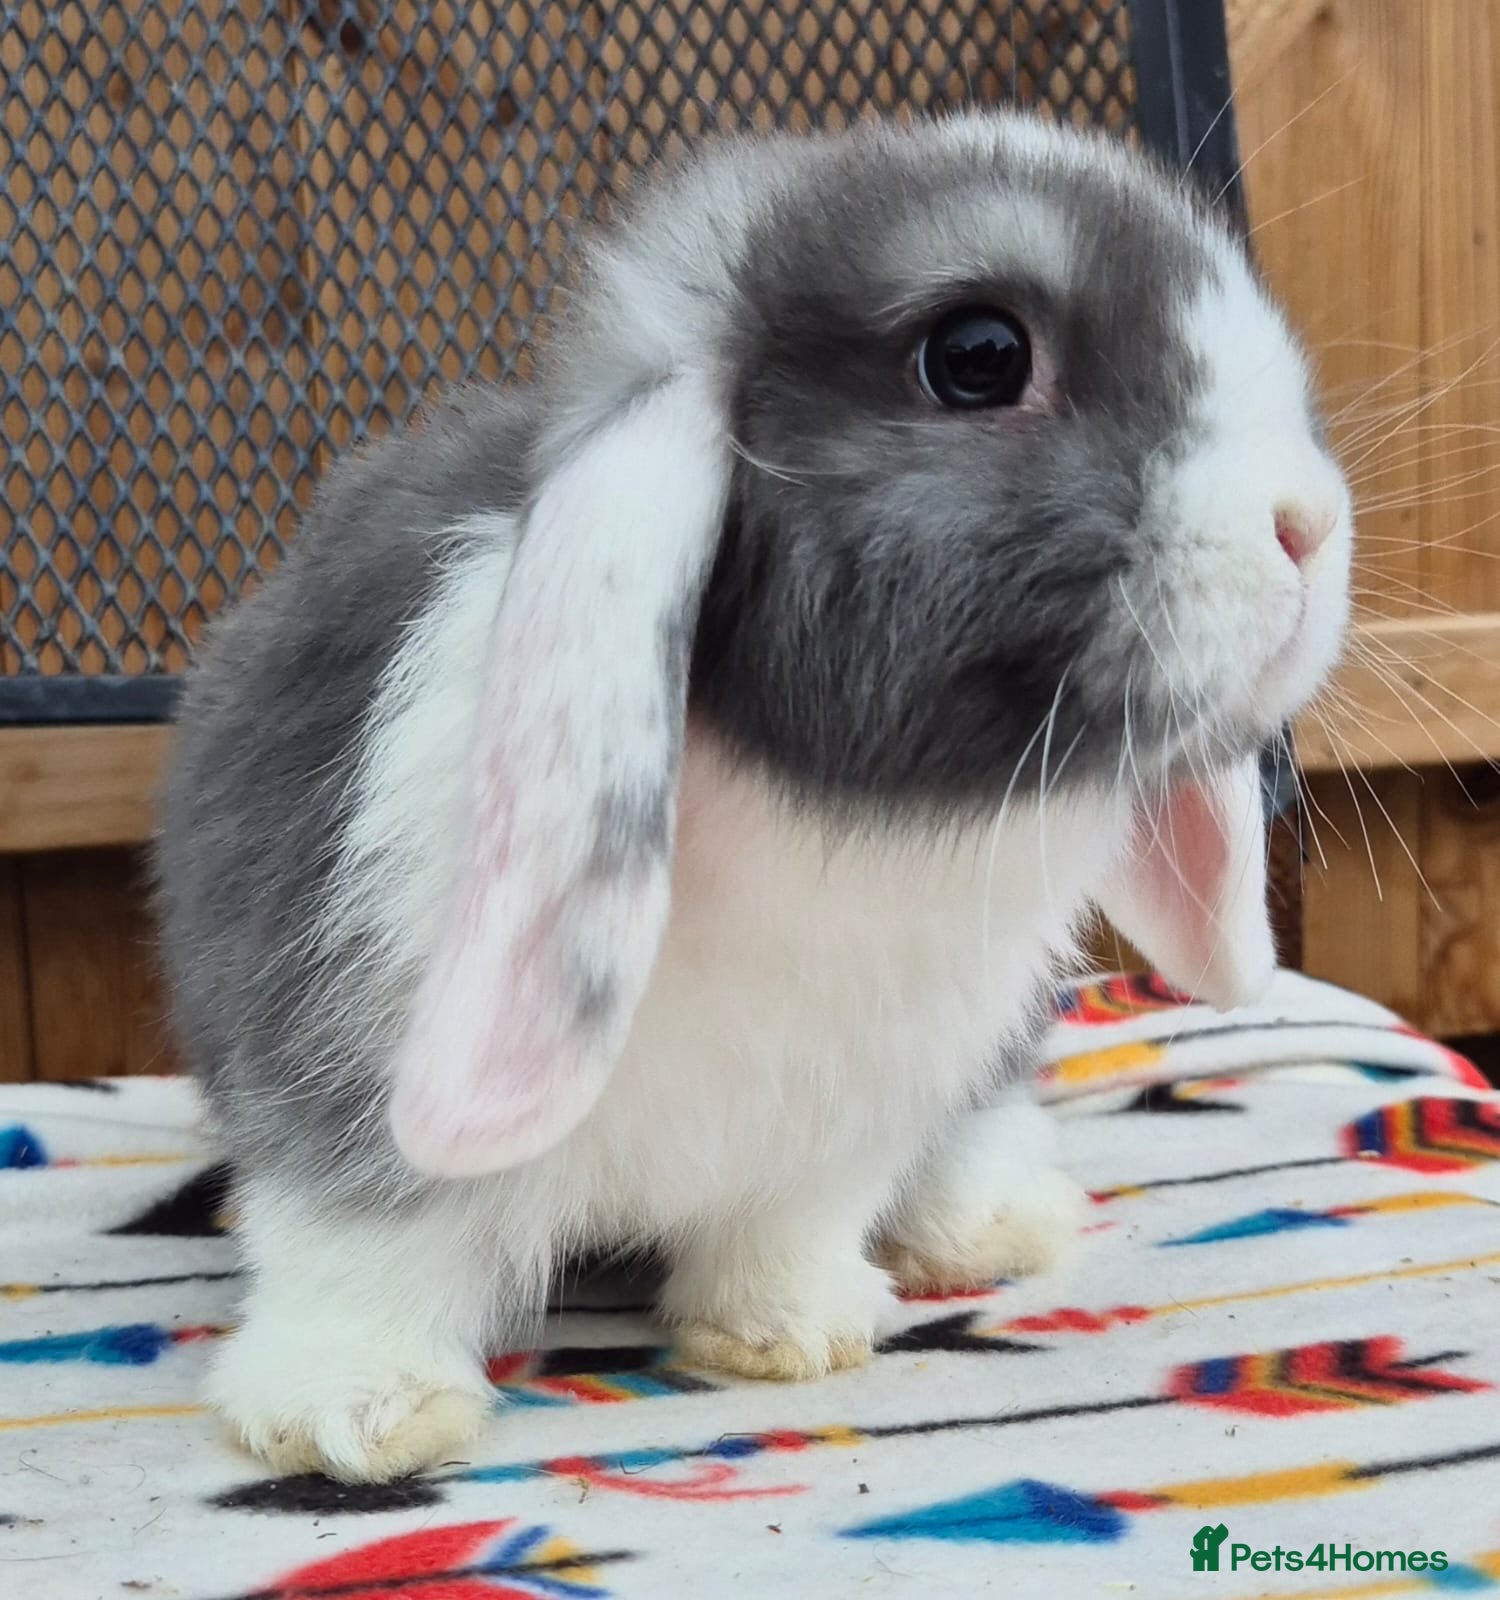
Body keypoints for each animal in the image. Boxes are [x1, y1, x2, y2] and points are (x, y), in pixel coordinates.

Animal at [155, 109, 1352, 1484]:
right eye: (979, 356)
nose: (1309, 525)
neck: (829, 822)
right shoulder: (341, 1049)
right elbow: (365, 1240)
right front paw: (354, 1415)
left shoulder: (839, 1125)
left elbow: (790, 1228)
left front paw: (789, 1334)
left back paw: (990, 1223)